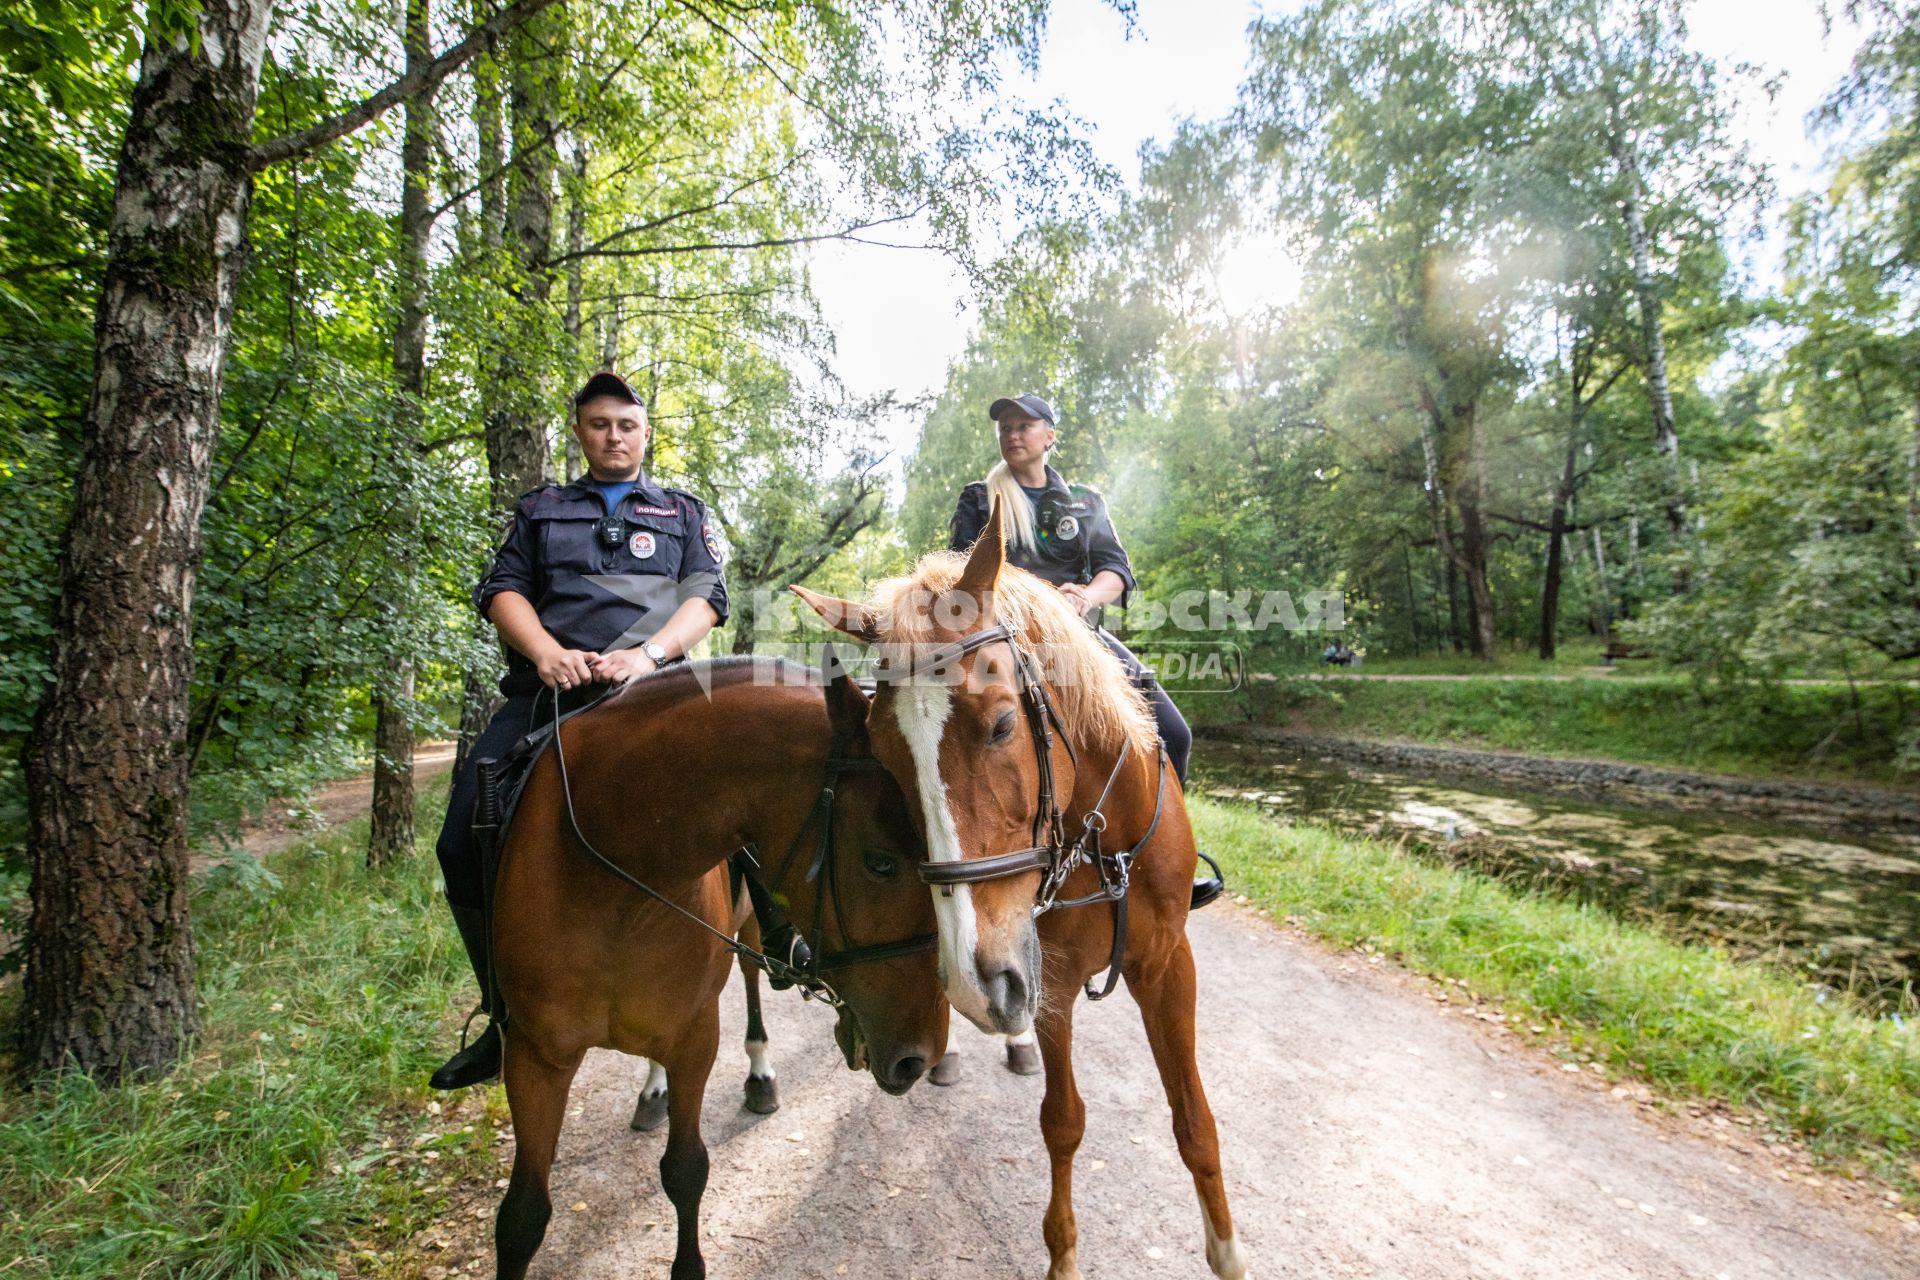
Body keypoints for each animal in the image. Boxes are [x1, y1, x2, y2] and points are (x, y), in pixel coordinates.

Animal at [491, 660, 948, 1280]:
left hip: (750, 928)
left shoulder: (695, 1037)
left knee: (752, 982)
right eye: (880, 863)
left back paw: (760, 1075)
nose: (920, 1057)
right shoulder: (533, 1055)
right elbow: (522, 1217)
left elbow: (685, 1171)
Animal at [791, 506, 1251, 1280]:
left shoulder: (1166, 966)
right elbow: (1062, 1123)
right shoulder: (1051, 980)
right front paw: (1062, 1255)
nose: (974, 985)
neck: (1100, 837)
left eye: (1004, 723)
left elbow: (1196, 1122)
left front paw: (1226, 1251)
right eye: (887, 759)